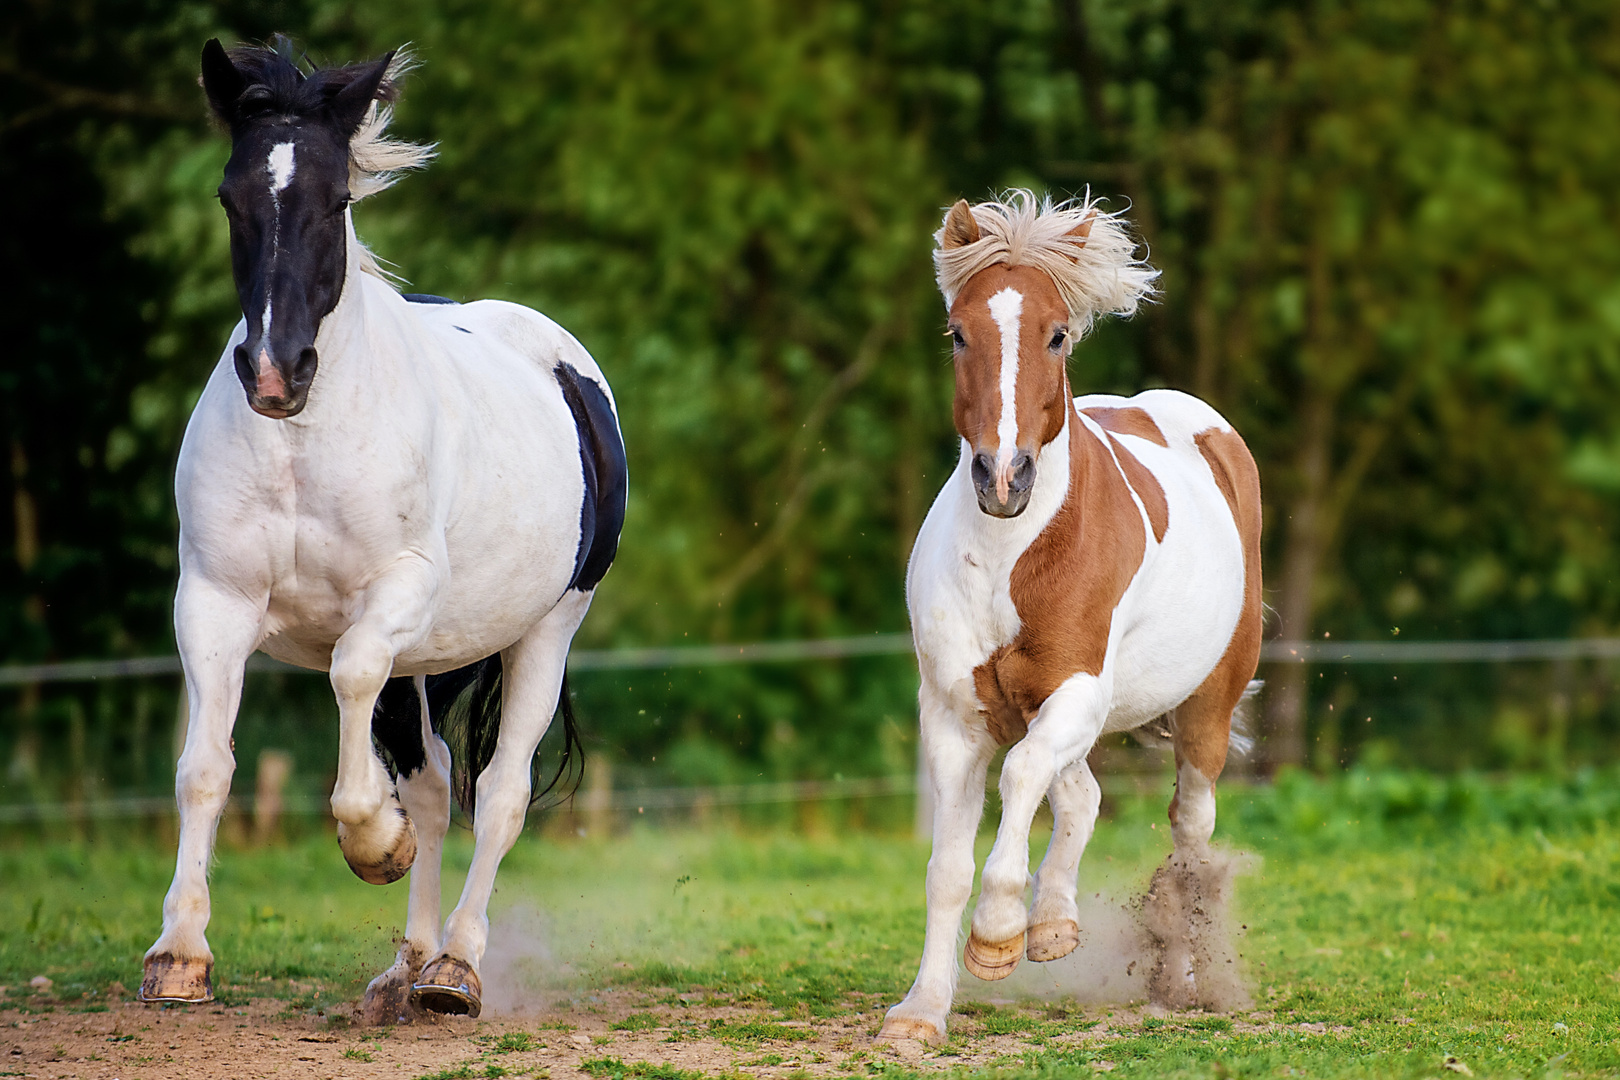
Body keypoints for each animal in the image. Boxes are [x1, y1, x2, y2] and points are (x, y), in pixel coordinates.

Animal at [139, 42, 625, 1023]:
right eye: (230, 198)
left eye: (336, 201)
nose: (274, 373)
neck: (302, 444)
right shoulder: (212, 602)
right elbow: (204, 766)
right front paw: (179, 954)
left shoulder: (397, 595)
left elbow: (350, 675)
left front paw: (372, 843)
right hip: (431, 665)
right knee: (437, 784)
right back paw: (408, 967)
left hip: (546, 630)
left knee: (501, 791)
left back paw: (455, 969)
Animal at [881, 194, 1257, 1049]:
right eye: (959, 332)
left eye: (1056, 334)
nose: (1004, 478)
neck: (1010, 558)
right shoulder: (956, 712)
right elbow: (946, 868)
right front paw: (922, 1011)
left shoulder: (1078, 689)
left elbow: (1021, 779)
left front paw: (996, 935)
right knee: (1080, 794)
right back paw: (1054, 924)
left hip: (1205, 709)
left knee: (1189, 832)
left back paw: (1183, 983)